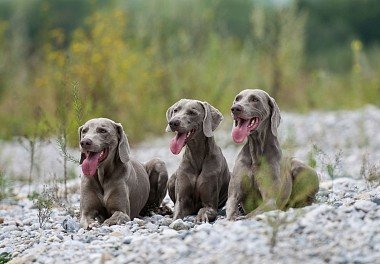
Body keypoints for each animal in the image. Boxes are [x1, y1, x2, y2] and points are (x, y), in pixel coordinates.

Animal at [227, 89, 320, 220]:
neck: (256, 153)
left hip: (300, 167)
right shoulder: (233, 195)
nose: (235, 108)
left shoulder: (270, 201)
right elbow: (230, 209)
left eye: (255, 99)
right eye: (237, 98)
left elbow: (252, 214)